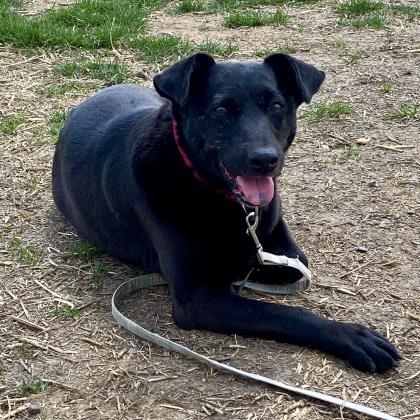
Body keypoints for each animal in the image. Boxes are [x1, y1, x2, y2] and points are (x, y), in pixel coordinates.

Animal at [52, 52, 400, 370]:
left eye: (277, 106)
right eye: (221, 109)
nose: (265, 159)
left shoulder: (283, 252)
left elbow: (282, 263)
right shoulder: (197, 297)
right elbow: (284, 313)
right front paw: (351, 337)